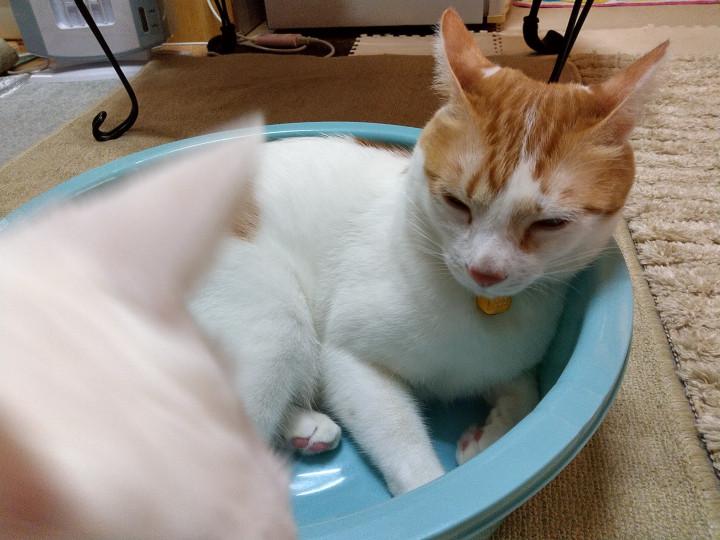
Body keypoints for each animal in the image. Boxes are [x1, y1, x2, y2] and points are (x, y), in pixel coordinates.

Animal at [191, 9, 668, 496]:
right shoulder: (348, 358)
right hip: (274, 325)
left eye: (549, 223)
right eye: (456, 203)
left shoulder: (508, 360)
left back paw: (303, 426)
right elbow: (404, 448)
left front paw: (490, 436)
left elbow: (527, 391)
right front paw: (429, 484)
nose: (485, 271)